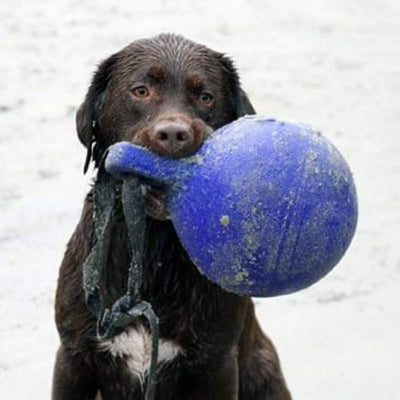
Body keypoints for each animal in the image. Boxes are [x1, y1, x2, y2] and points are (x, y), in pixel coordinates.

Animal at [52, 33, 290, 400]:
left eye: (205, 97)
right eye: (140, 91)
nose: (174, 135)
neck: (154, 248)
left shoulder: (216, 365)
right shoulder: (73, 358)